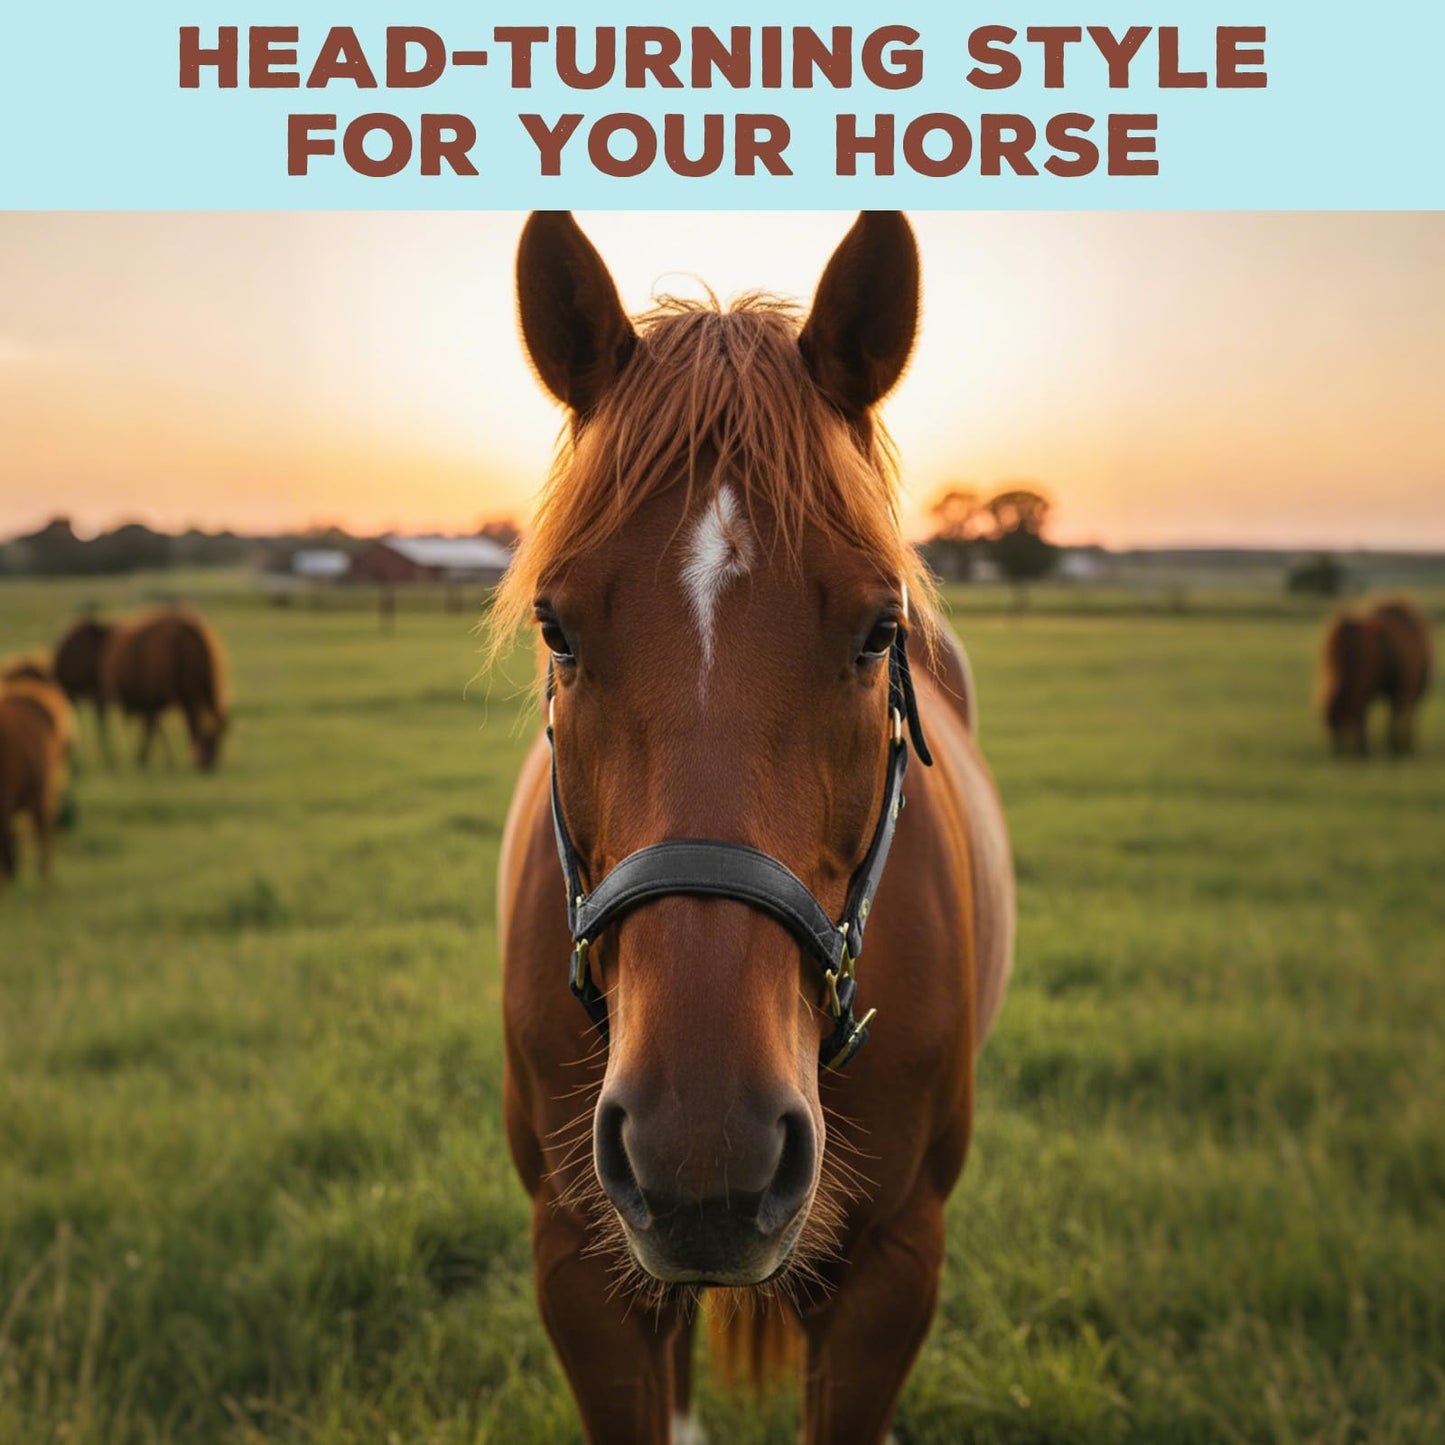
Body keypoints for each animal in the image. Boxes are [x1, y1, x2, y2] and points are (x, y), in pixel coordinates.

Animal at [1319, 599, 1432, 756]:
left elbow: (1374, 718)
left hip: (1415, 690)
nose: (1337, 753)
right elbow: (1366, 717)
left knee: (1409, 714)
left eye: (1340, 720)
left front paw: (1368, 749)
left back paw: (1405, 745)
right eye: (1329, 725)